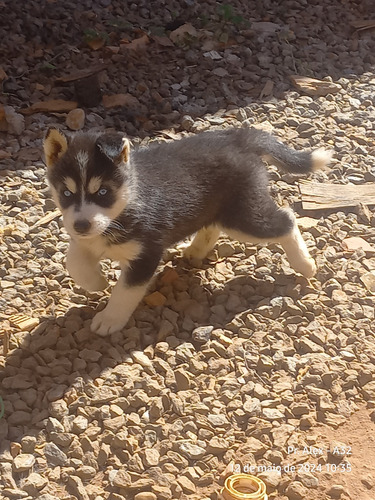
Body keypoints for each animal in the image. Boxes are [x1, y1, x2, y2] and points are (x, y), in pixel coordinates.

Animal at [43, 126, 332, 336]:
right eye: (66, 193)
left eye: (102, 192)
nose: (81, 225)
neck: (126, 203)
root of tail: (237, 137)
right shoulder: (86, 239)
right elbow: (74, 261)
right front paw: (96, 282)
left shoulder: (146, 253)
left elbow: (125, 291)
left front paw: (109, 318)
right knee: (212, 226)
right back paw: (194, 250)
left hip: (242, 217)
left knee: (286, 219)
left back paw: (305, 264)